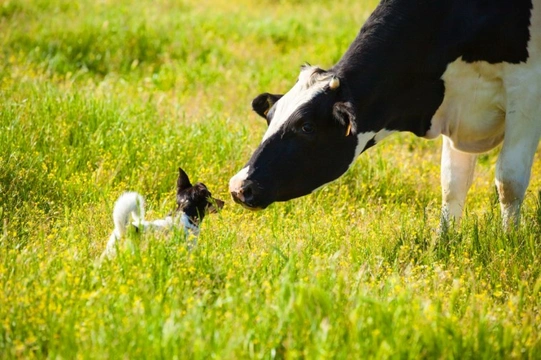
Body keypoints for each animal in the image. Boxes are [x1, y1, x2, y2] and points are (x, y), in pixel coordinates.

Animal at [229, 0, 540, 229]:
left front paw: (509, 243)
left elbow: (509, 181)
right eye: (270, 117)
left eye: (307, 126)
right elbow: (453, 183)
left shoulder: (526, 89)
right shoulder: (457, 106)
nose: (239, 186)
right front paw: (445, 243)